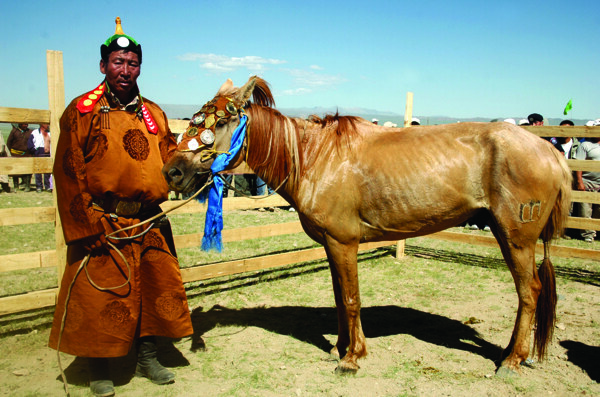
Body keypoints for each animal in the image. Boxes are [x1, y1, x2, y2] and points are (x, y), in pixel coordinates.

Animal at [163, 75, 572, 374]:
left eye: (221, 121)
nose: (173, 171)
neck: (314, 157)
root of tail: (549, 150)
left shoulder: (344, 242)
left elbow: (351, 298)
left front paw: (353, 357)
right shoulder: (331, 244)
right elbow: (339, 299)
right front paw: (340, 347)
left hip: (516, 239)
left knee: (529, 293)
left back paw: (512, 359)